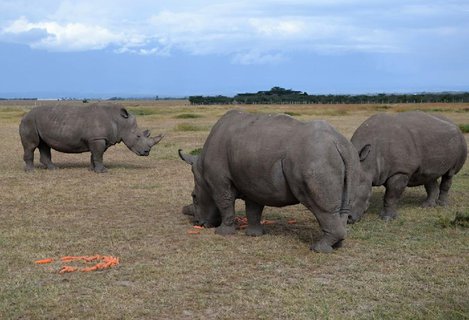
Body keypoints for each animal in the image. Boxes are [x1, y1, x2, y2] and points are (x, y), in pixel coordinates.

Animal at [18, 103, 165, 172]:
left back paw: (54, 169)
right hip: (29, 121)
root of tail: (25, 115)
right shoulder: (97, 138)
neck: (119, 121)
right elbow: (98, 155)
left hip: (38, 122)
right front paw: (103, 171)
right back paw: (31, 171)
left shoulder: (100, 139)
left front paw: (92, 170)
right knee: (31, 146)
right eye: (138, 136)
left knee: (44, 144)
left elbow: (95, 155)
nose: (147, 152)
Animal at [179, 110, 370, 252]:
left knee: (320, 206)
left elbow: (224, 202)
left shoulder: (219, 181)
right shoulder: (253, 181)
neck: (201, 169)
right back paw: (337, 245)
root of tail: (338, 143)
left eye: (194, 197)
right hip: (348, 158)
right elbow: (254, 208)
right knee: (343, 204)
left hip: (315, 157)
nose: (199, 223)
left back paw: (318, 249)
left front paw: (222, 233)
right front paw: (254, 234)